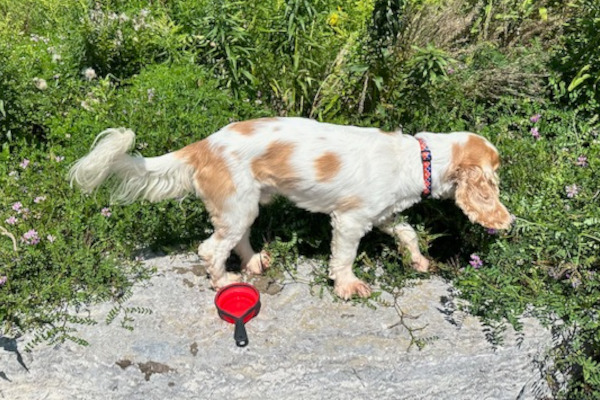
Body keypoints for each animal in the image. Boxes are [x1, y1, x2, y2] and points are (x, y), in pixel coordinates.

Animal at [69, 117, 510, 298]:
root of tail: (202, 147)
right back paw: (225, 282)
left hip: (246, 205)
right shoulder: (350, 221)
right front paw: (348, 287)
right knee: (210, 250)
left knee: (237, 240)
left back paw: (253, 262)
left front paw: (418, 261)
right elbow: (344, 258)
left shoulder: (384, 214)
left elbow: (408, 231)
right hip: (236, 208)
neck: (418, 157)